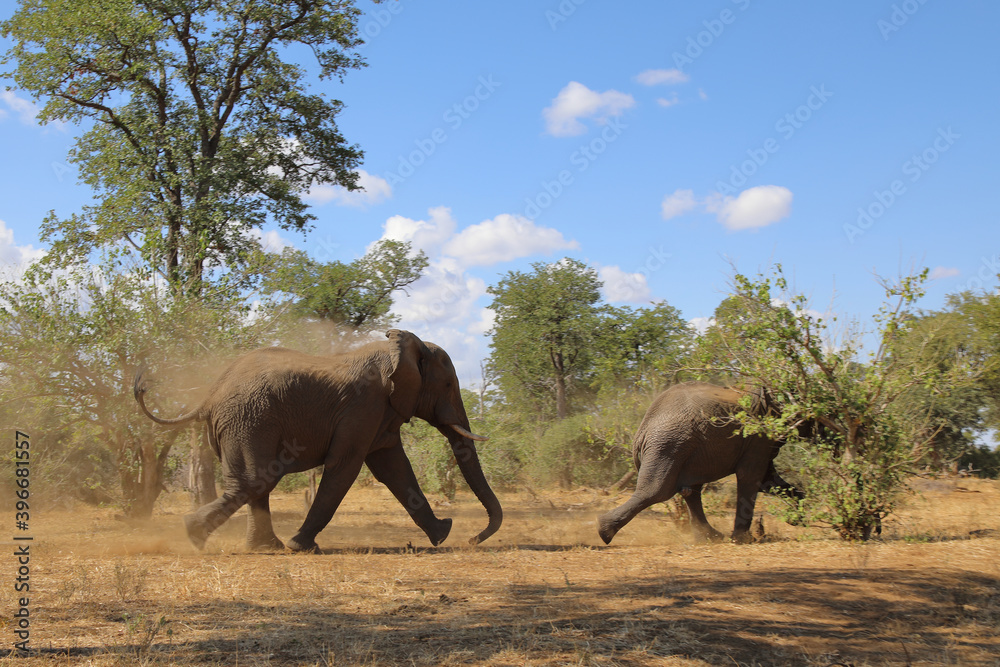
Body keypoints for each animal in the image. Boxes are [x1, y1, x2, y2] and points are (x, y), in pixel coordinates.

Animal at [134, 329, 502, 552]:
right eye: (448, 385)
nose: (473, 539)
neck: (400, 348)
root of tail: (210, 394)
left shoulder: (380, 413)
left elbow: (394, 468)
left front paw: (442, 534)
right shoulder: (364, 406)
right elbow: (345, 467)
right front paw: (302, 546)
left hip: (244, 421)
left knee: (258, 483)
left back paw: (265, 548)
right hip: (249, 419)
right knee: (257, 480)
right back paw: (194, 535)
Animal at [597, 381, 804, 544]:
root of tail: (642, 430)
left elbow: (767, 480)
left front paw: (798, 520)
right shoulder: (757, 436)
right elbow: (751, 476)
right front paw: (742, 540)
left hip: (686, 447)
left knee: (690, 491)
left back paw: (711, 537)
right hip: (668, 445)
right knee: (656, 491)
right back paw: (604, 532)